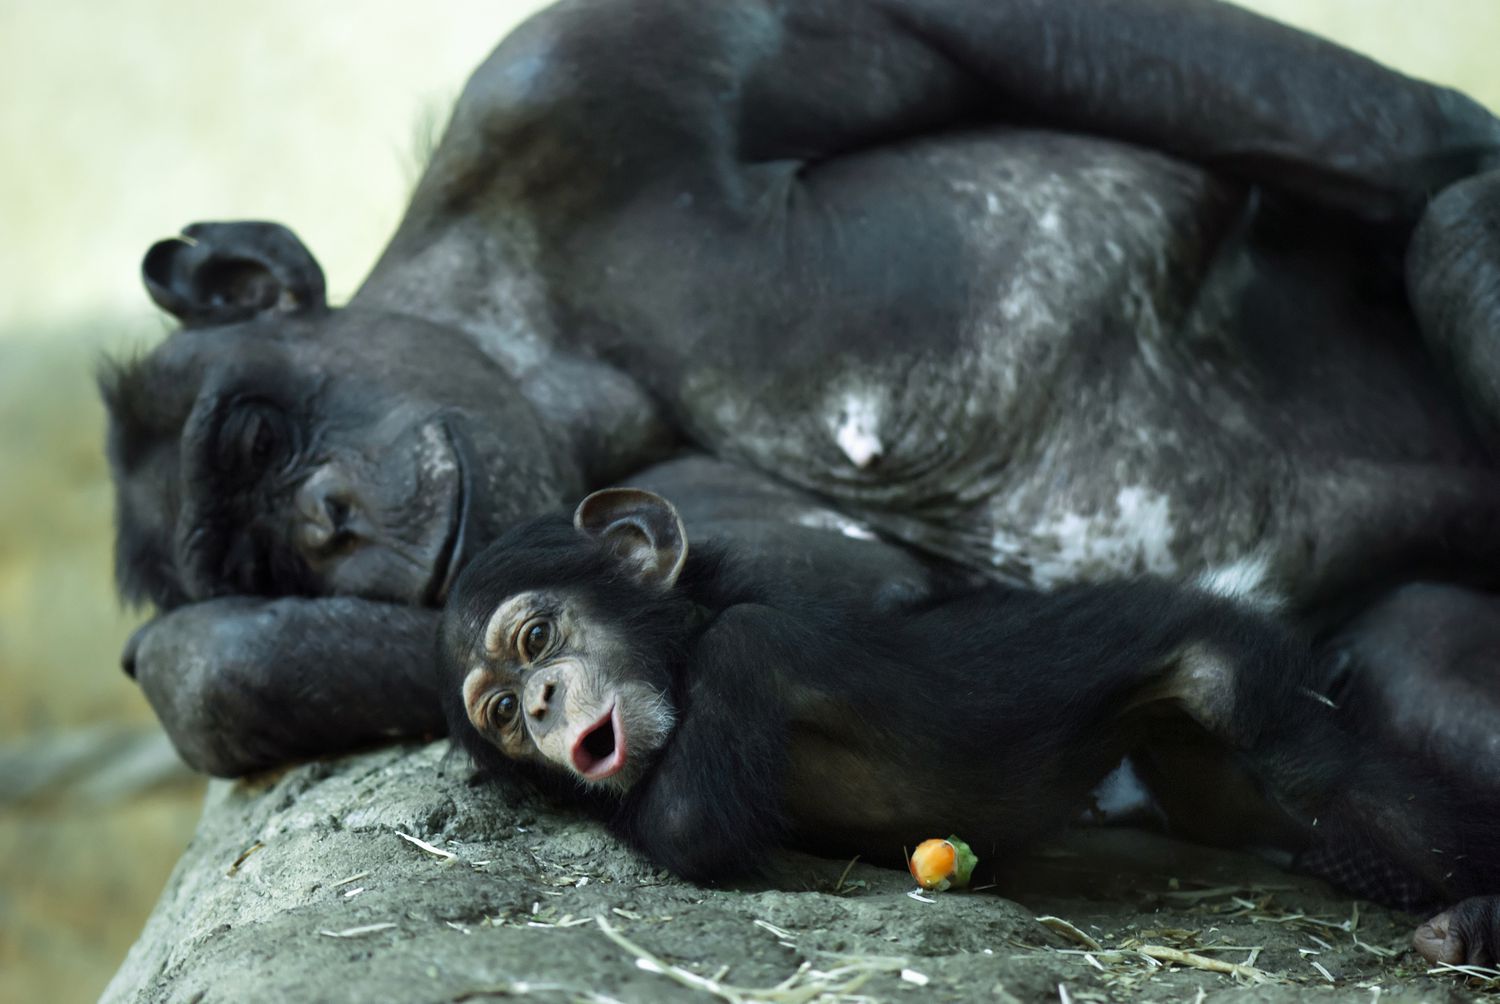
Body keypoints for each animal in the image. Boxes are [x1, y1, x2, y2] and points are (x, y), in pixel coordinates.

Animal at [438, 489, 1500, 966]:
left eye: (536, 637)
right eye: (501, 711)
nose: (539, 705)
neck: (687, 648)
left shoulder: (753, 645)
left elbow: (693, 824)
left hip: (1219, 646)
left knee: (1318, 767)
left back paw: (1470, 917)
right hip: (1183, 753)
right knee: (1232, 804)